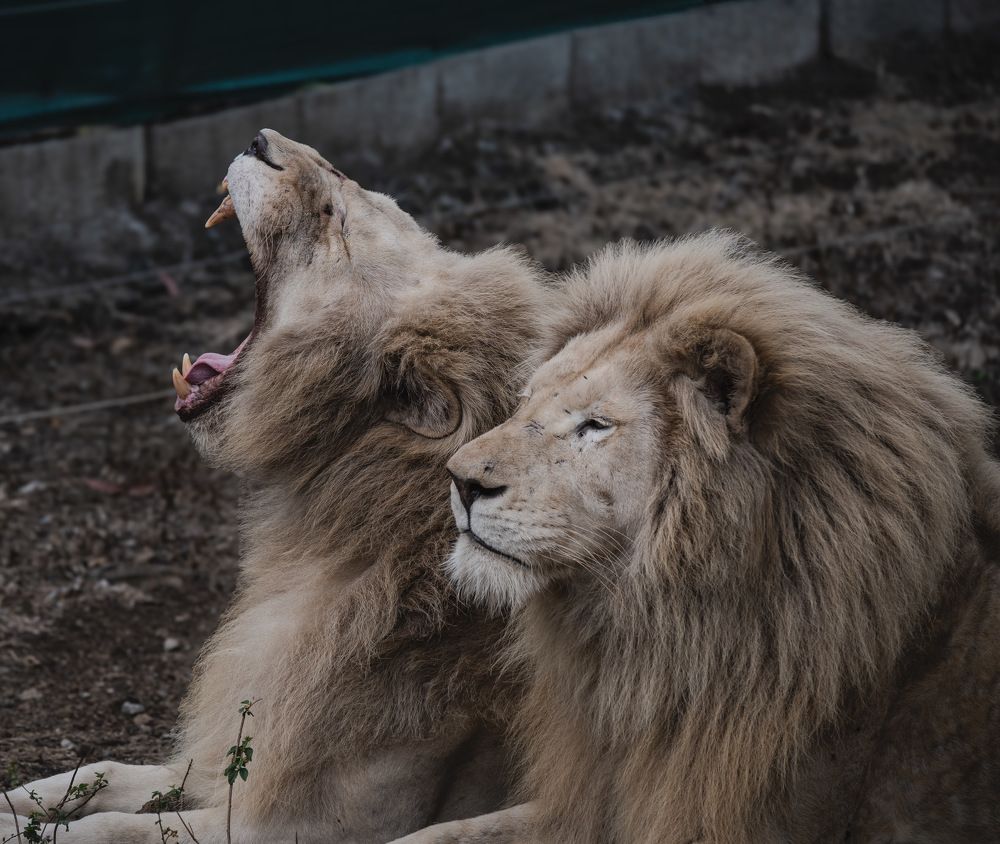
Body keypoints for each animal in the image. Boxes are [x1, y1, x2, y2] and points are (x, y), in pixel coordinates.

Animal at [2, 130, 552, 844]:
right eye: (355, 191)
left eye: (334, 222)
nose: (261, 140)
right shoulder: (237, 758)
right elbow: (97, 773)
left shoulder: (311, 821)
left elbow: (114, 827)